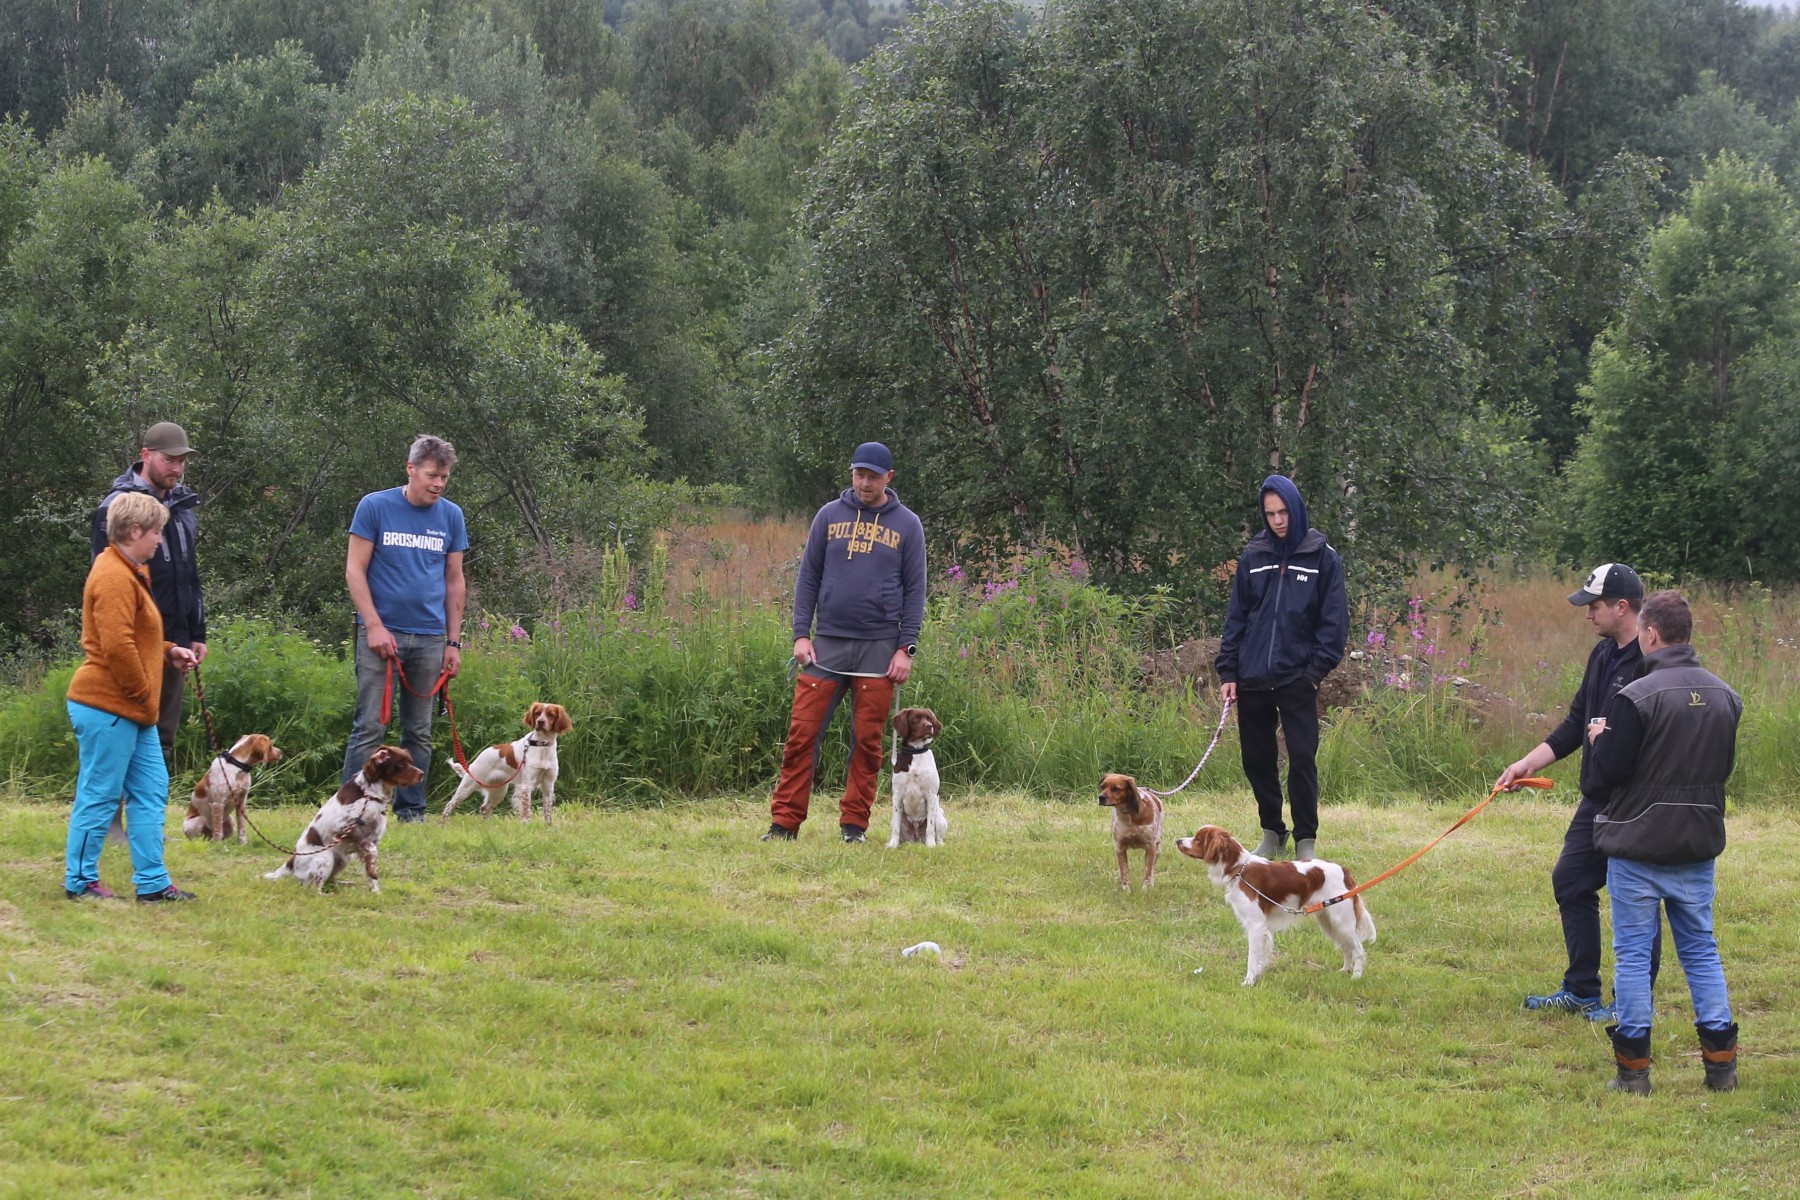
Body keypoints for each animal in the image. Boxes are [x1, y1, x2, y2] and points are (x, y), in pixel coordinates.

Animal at [263, 746, 423, 893]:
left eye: (410, 762)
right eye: (401, 764)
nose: (422, 774)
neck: (369, 793)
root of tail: (291, 861)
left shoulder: (372, 836)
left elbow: (371, 871)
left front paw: (376, 893)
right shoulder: (343, 825)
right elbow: (372, 851)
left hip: (343, 859)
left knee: (329, 881)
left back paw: (343, 885)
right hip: (325, 858)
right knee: (314, 889)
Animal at [441, 702, 573, 824]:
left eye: (551, 714)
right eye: (537, 713)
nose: (540, 722)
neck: (542, 745)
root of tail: (481, 755)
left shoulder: (548, 785)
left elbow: (548, 812)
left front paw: (548, 828)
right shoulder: (526, 785)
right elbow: (527, 812)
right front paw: (528, 826)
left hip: (499, 790)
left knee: (484, 808)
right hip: (468, 786)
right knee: (449, 805)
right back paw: (443, 825)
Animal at [887, 706, 946, 847]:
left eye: (929, 718)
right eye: (915, 719)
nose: (929, 726)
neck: (916, 752)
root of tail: (916, 838)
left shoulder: (931, 795)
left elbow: (930, 827)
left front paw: (931, 845)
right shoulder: (897, 795)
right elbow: (896, 828)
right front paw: (892, 845)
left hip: (939, 815)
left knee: (939, 835)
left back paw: (938, 844)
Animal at [1175, 825, 1376, 985]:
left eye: (1198, 839)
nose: (1177, 840)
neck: (1240, 869)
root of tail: (1344, 871)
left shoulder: (1256, 925)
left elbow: (1252, 957)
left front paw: (1248, 982)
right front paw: (1256, 977)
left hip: (1341, 920)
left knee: (1358, 949)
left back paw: (1356, 976)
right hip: (1329, 921)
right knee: (1346, 947)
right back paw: (1345, 970)